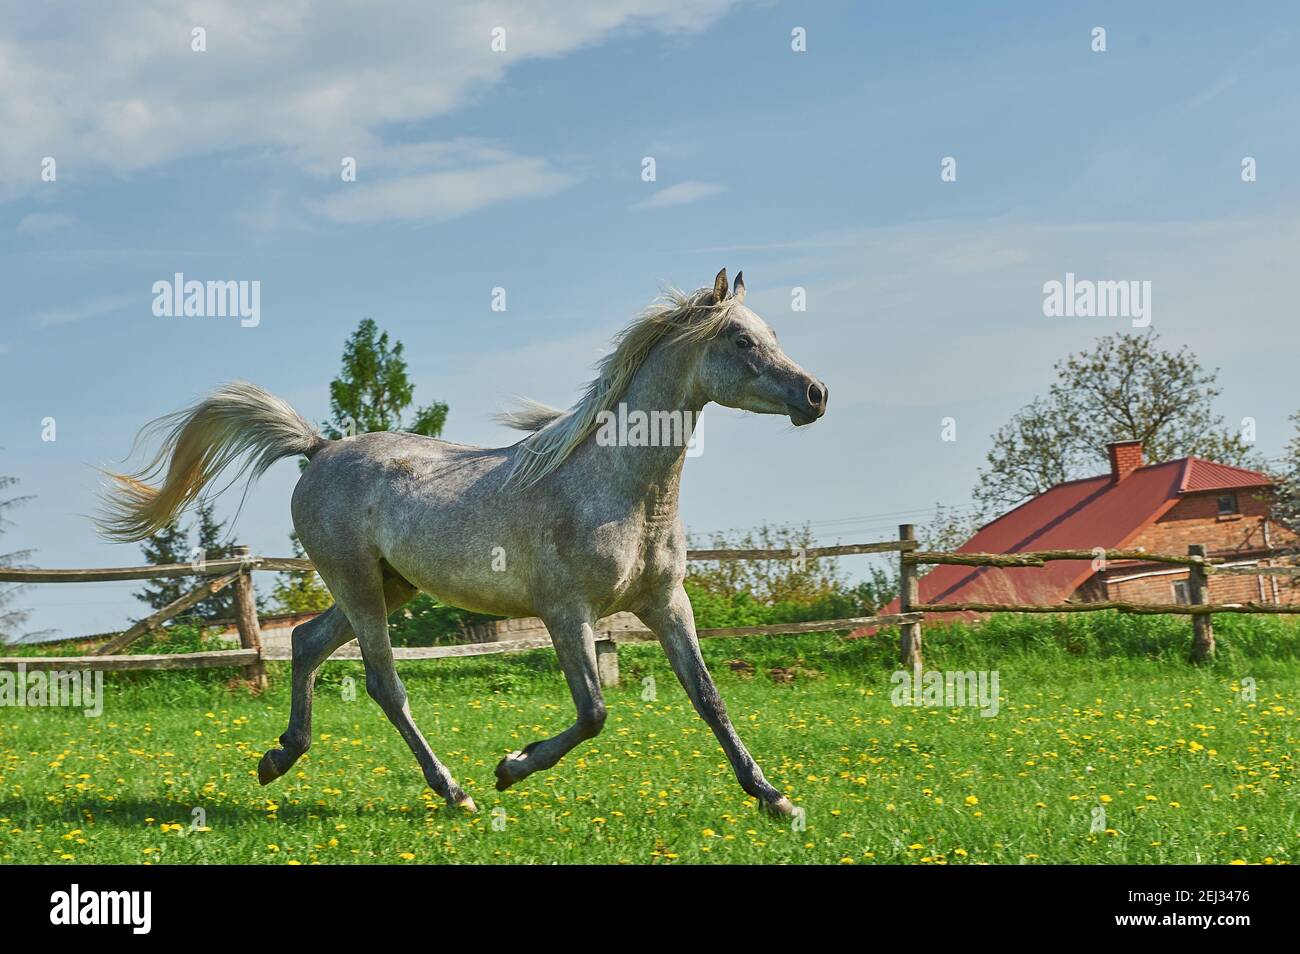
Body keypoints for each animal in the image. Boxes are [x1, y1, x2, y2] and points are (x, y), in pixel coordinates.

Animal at [98, 268, 828, 817]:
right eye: (741, 338)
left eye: (770, 334)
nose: (815, 394)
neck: (618, 486)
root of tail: (320, 448)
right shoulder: (567, 613)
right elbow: (593, 711)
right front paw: (511, 766)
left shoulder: (666, 603)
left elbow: (709, 699)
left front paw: (774, 798)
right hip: (360, 585)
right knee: (384, 684)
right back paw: (454, 791)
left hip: (388, 585)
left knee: (305, 642)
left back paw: (278, 758)